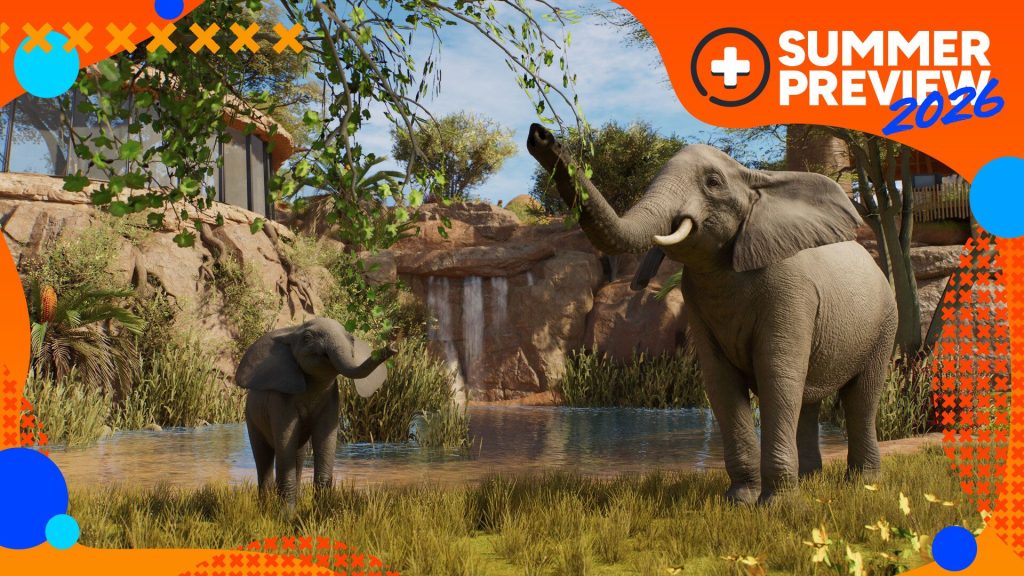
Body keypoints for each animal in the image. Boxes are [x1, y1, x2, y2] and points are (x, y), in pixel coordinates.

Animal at [234, 317, 395, 508]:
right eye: (307, 338)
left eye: (351, 339)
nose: (392, 346)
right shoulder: (281, 400)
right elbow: (285, 444)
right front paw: (286, 514)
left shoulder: (331, 398)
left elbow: (325, 441)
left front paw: (321, 510)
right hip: (251, 416)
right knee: (263, 457)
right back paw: (265, 507)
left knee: (298, 454)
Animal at [527, 124, 897, 504]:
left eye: (713, 182)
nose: (541, 134)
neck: (757, 181)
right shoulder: (697, 300)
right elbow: (721, 383)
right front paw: (739, 501)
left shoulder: (792, 292)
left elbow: (777, 375)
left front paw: (777, 505)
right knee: (808, 401)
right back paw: (810, 479)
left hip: (885, 321)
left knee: (861, 398)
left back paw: (862, 483)